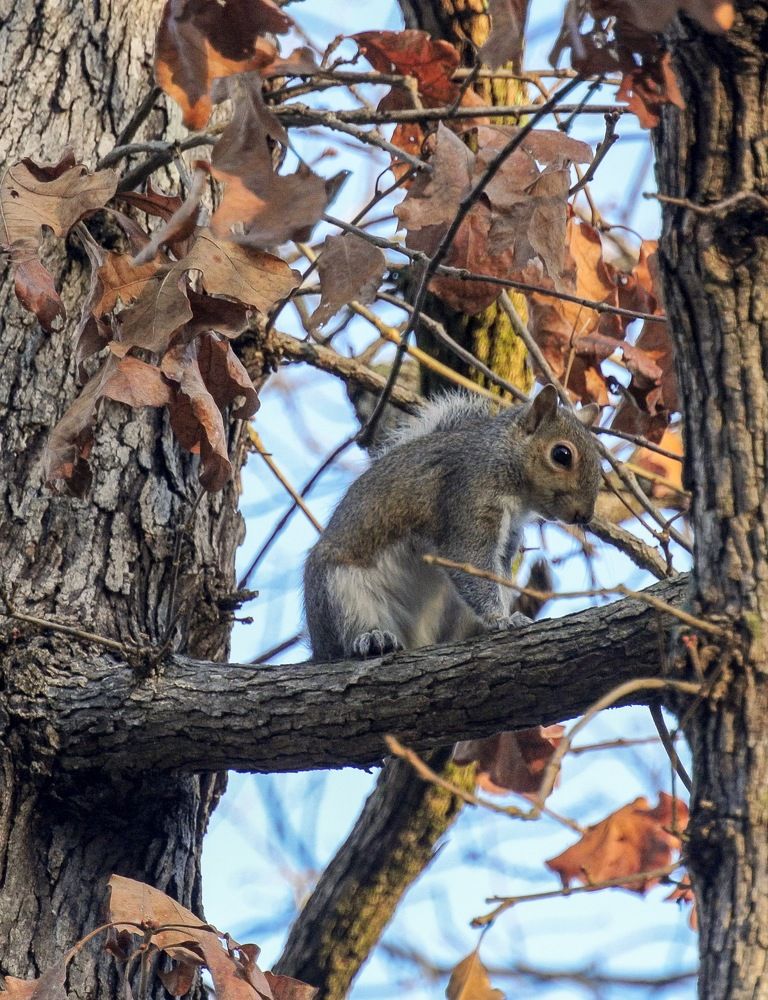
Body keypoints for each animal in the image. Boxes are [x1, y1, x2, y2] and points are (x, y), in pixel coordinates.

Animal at [304, 384, 601, 660]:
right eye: (561, 454)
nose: (585, 516)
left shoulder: (509, 537)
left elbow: (496, 575)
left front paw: (506, 616)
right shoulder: (467, 497)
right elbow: (470, 561)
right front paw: (500, 619)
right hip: (339, 591)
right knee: (349, 630)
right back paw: (373, 637)